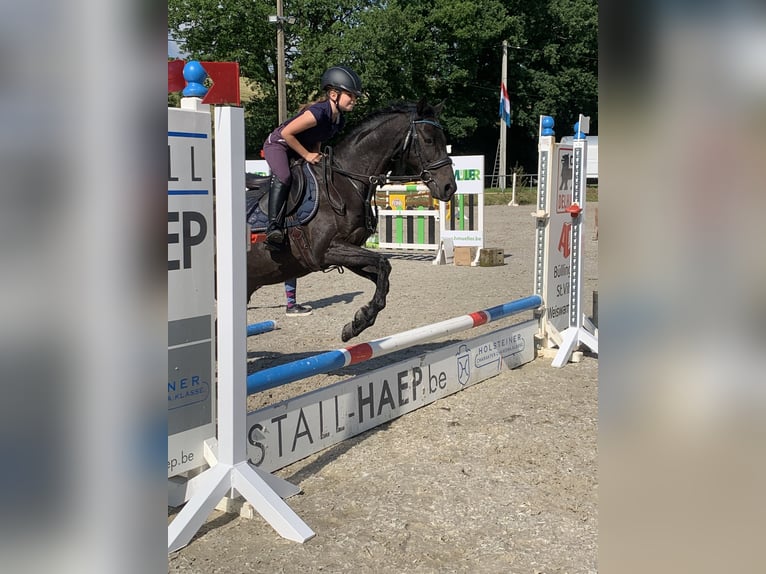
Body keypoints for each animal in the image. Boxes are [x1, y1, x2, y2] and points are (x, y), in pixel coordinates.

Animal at [249, 99, 460, 342]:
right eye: (428, 140)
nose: (449, 187)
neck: (346, 181)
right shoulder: (325, 250)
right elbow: (384, 263)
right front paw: (361, 319)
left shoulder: (348, 250)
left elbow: (383, 275)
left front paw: (356, 324)